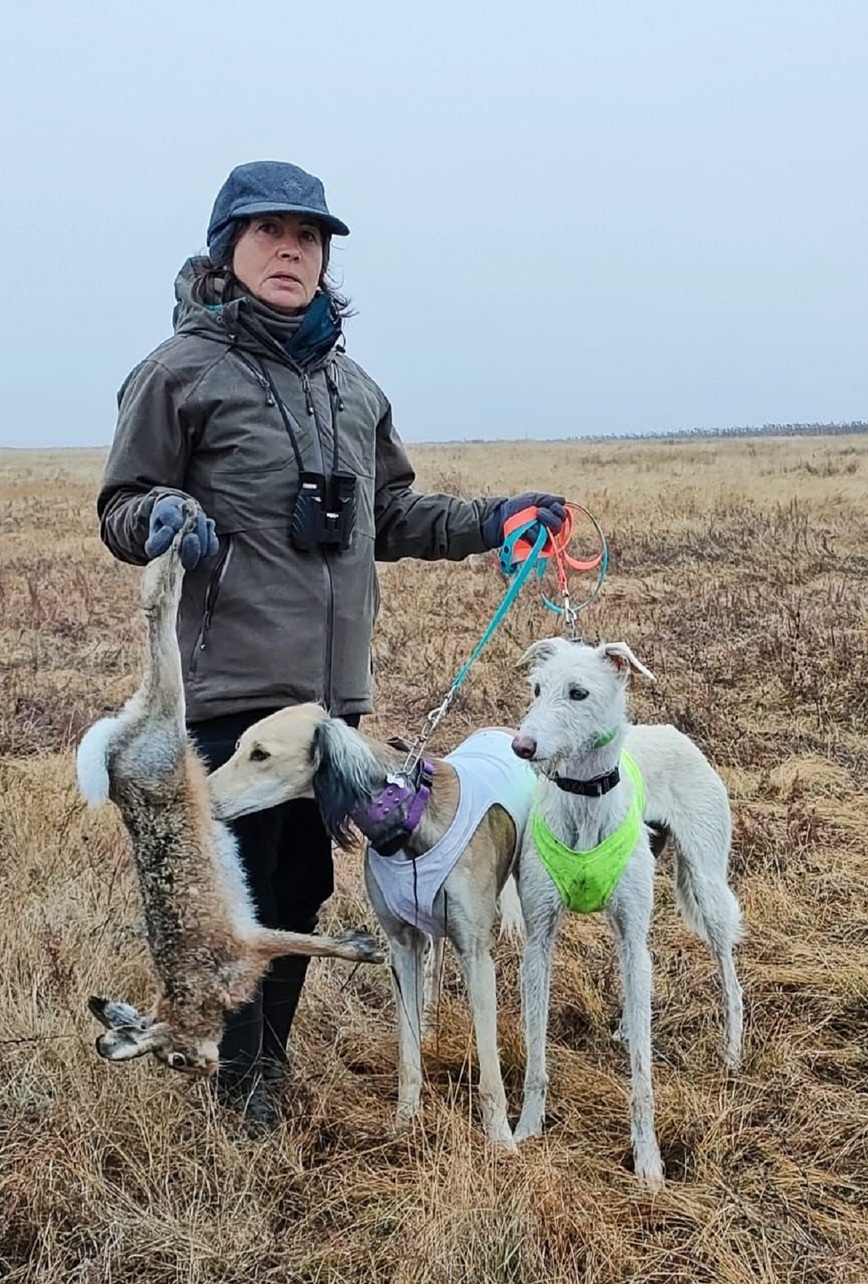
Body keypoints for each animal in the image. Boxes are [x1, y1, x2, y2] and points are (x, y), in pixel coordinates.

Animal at [511, 636, 744, 1186]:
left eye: (578, 692)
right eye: (537, 688)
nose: (523, 746)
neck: (584, 796)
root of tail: (673, 732)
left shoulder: (635, 936)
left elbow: (642, 1074)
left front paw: (649, 1161)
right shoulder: (539, 942)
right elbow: (535, 1051)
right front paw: (528, 1128)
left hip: (706, 889)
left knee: (729, 974)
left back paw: (732, 1051)